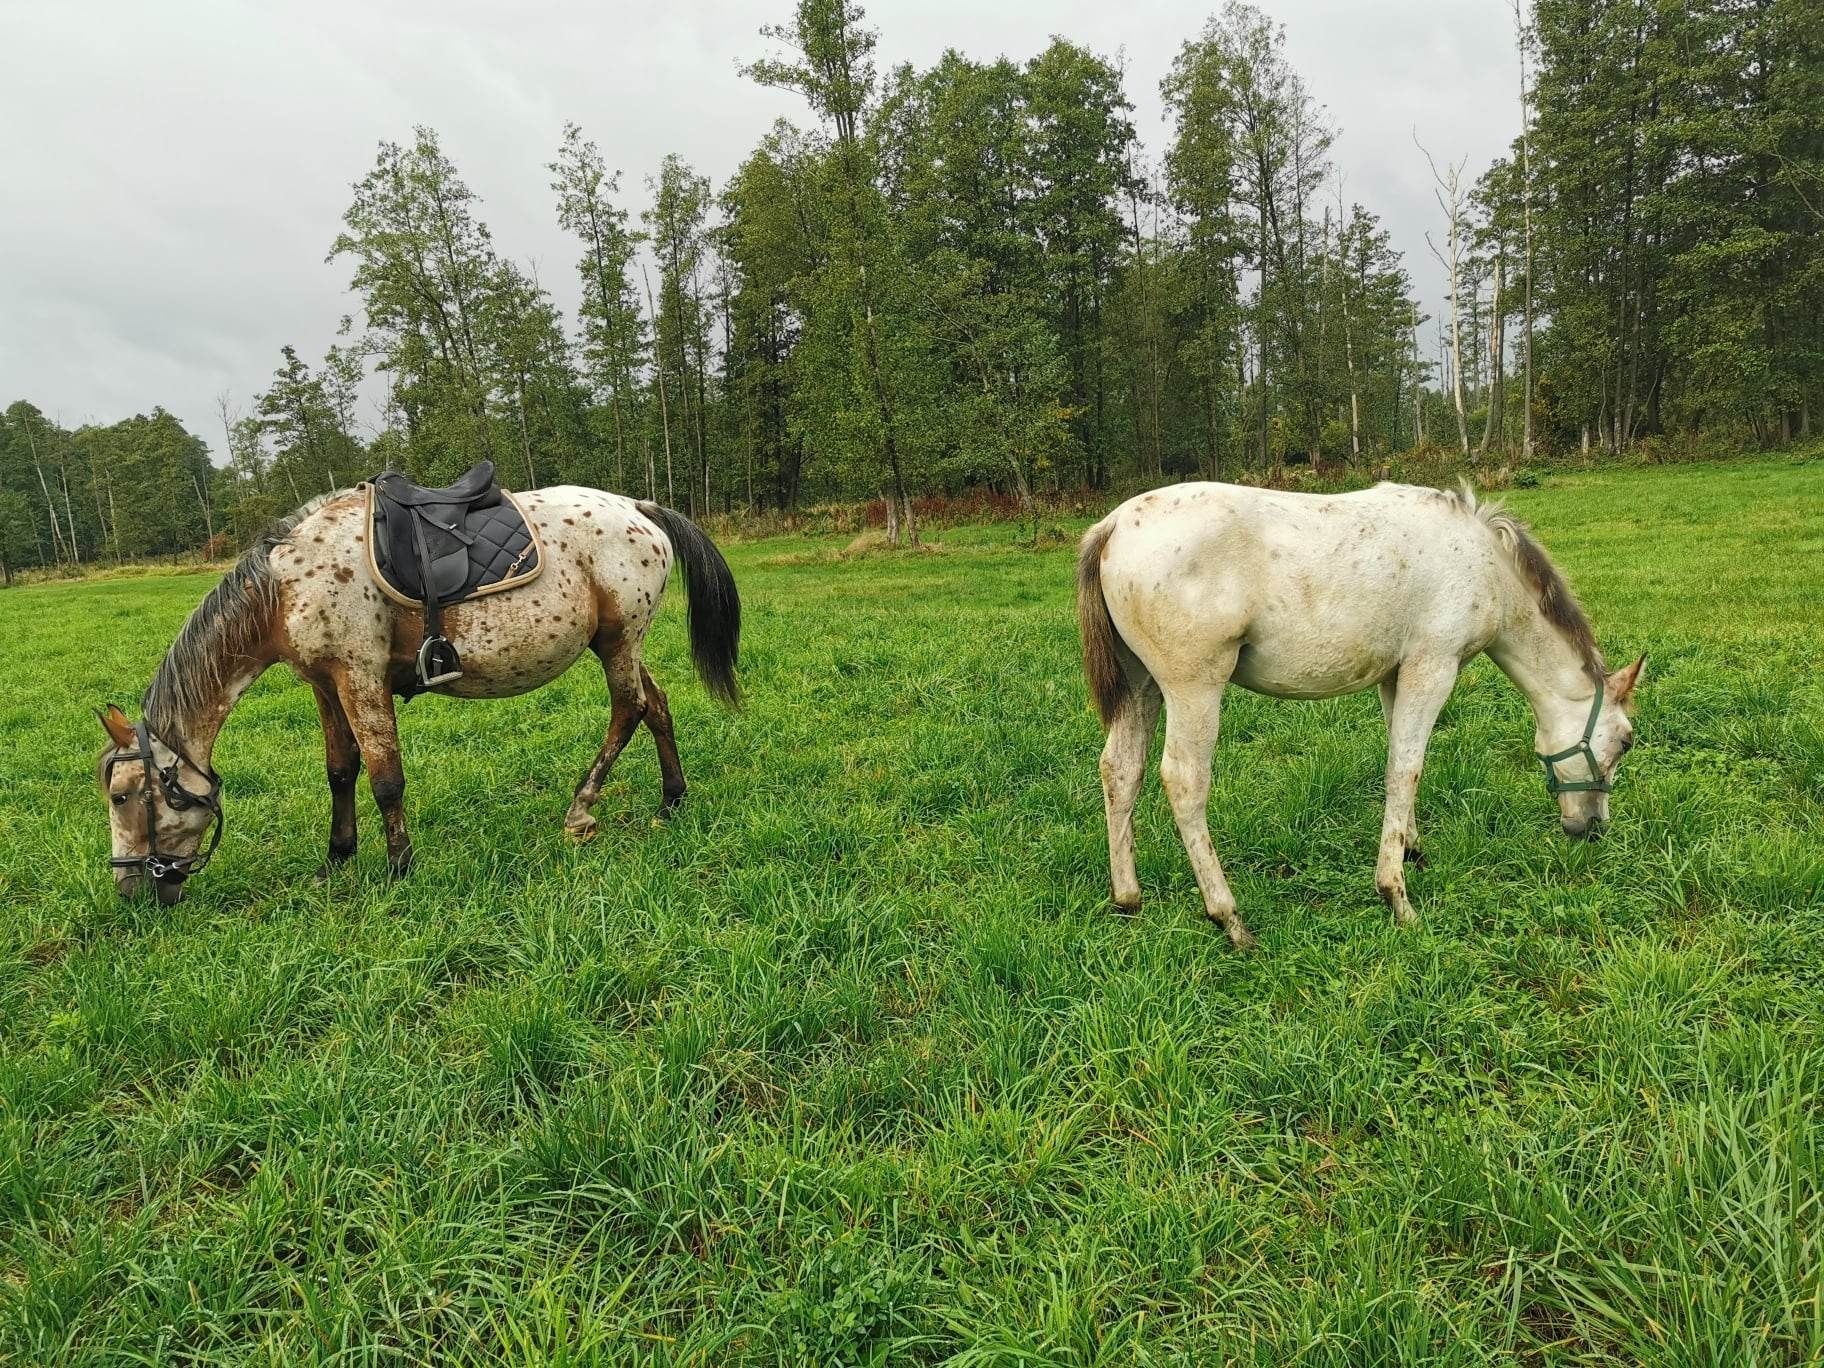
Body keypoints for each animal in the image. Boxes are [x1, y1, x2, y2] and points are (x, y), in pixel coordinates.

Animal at [96, 488, 736, 904]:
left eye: (124, 797)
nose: (129, 889)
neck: (285, 587)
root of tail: (638, 509)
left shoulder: (360, 678)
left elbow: (385, 779)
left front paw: (399, 866)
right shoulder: (326, 684)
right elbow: (340, 771)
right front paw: (337, 858)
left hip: (619, 642)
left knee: (629, 711)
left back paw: (581, 810)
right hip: (621, 644)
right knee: (657, 707)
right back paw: (671, 801)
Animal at [1072, 485, 1648, 955]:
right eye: (1624, 742)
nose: (1592, 829)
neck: (1482, 563)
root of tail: (1113, 526)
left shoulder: (1396, 678)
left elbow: (1403, 762)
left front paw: (1412, 849)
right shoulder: (1432, 669)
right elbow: (1405, 769)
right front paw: (1396, 897)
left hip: (1141, 688)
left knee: (1120, 771)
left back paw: (1128, 899)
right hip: (1194, 690)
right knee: (1185, 782)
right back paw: (1229, 919)